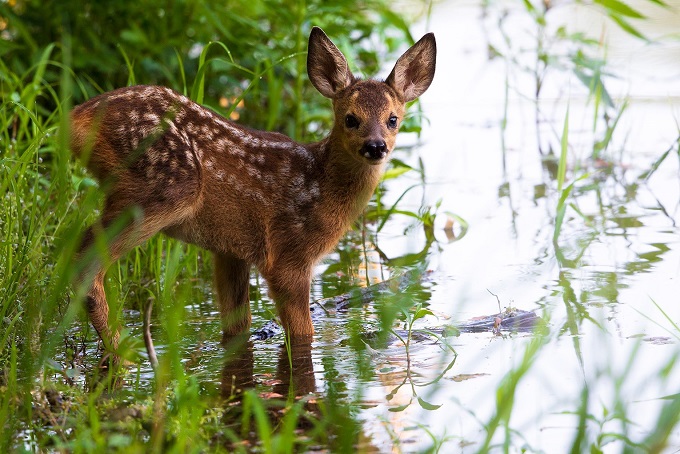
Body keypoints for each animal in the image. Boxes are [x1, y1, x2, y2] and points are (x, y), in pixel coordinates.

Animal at [70, 26, 436, 358]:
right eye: (350, 118)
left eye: (393, 119)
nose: (375, 146)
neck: (321, 187)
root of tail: (77, 118)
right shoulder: (289, 254)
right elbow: (302, 334)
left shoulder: (230, 249)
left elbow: (236, 327)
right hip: (163, 187)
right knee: (84, 258)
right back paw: (124, 353)